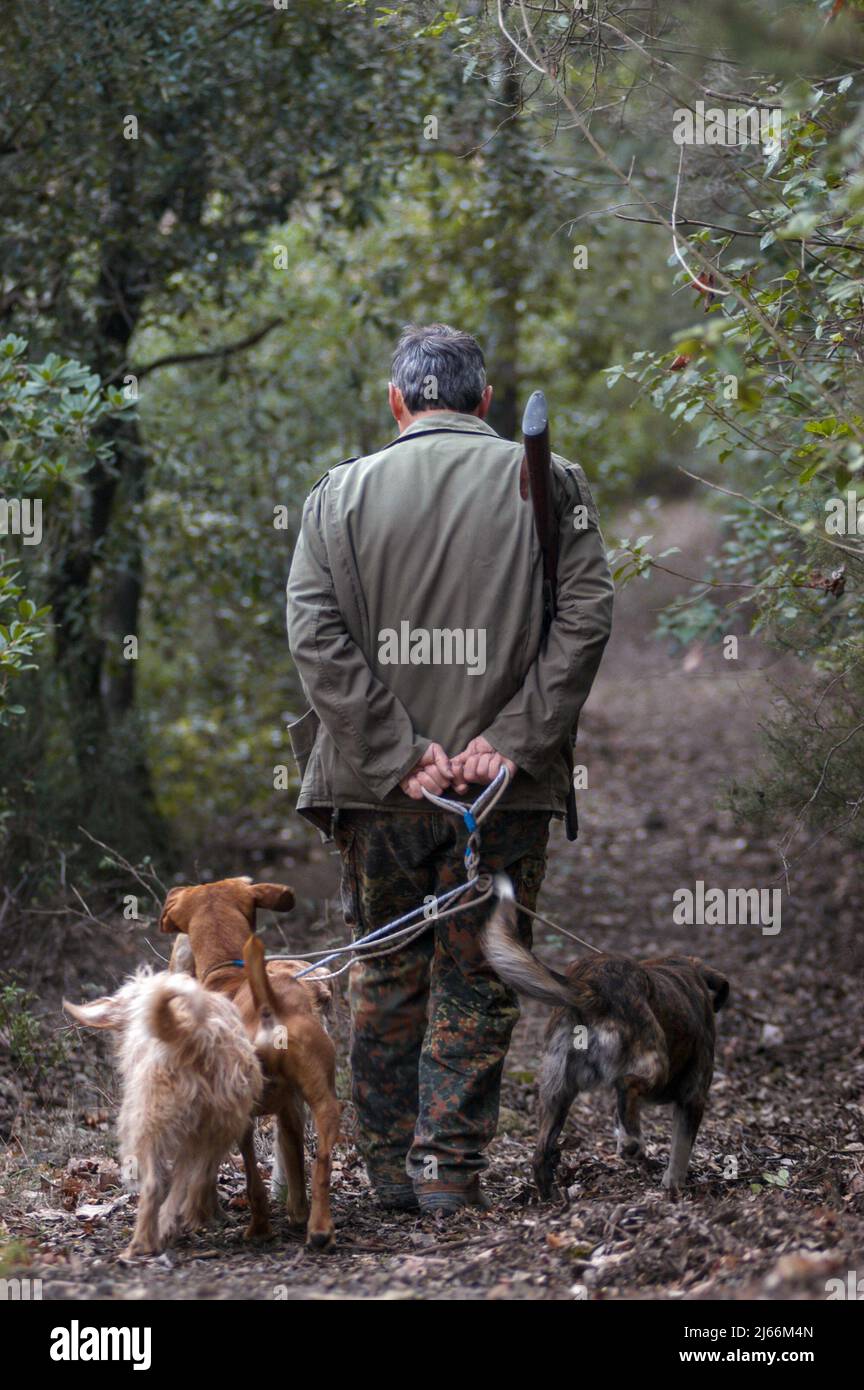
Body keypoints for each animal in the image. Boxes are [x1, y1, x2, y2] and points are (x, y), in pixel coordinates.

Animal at [159, 878, 341, 1251]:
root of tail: (268, 1003)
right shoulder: (290, 1110)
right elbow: (293, 1163)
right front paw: (297, 1213)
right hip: (325, 1102)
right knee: (322, 1162)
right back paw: (319, 1229)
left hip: (240, 1111)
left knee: (253, 1180)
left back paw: (257, 1229)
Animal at [488, 878, 733, 1195]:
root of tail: (590, 986)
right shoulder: (694, 1097)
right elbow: (680, 1149)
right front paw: (673, 1185)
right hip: (655, 1064)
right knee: (627, 1085)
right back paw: (633, 1145)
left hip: (557, 1092)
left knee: (540, 1154)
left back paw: (552, 1196)